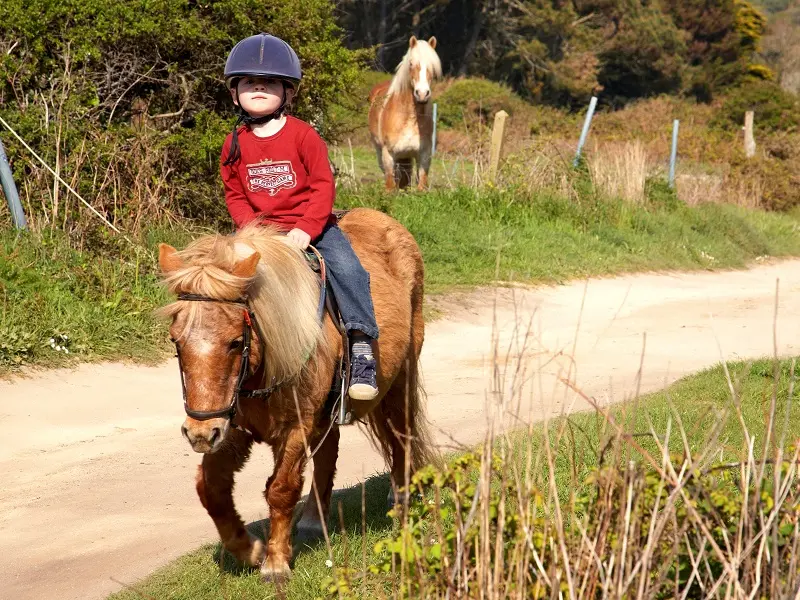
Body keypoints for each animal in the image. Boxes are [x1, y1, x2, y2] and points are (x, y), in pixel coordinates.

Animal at [154, 207, 434, 580]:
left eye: (235, 342)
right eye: (176, 340)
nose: (199, 433)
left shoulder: (295, 427)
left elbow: (281, 489)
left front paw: (275, 562)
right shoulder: (232, 427)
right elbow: (210, 488)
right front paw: (250, 549)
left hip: (402, 376)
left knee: (401, 435)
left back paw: (400, 497)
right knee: (330, 452)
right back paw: (315, 519)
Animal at [368, 35, 444, 190]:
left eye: (432, 66)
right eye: (411, 64)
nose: (422, 94)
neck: (408, 118)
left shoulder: (424, 156)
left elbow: (421, 187)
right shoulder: (388, 156)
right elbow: (390, 187)